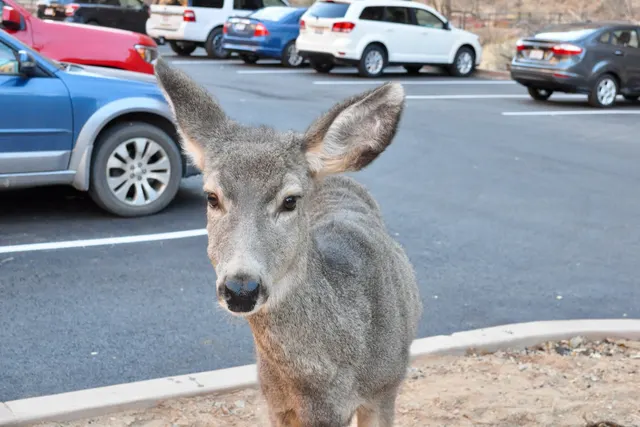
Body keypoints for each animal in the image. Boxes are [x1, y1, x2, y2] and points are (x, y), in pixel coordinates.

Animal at [155, 58, 422, 427]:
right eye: (212, 197)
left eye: (290, 200)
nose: (241, 288)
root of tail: (332, 175)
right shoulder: (274, 400)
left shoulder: (385, 389)